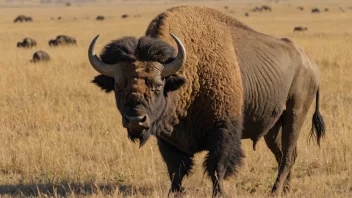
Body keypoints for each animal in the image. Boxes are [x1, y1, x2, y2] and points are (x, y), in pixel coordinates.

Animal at [87, 5, 324, 197]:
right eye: (118, 86)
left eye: (157, 84)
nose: (136, 120)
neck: (188, 74)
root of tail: (310, 62)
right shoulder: (167, 138)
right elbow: (176, 170)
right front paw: (174, 193)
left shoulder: (223, 130)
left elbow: (216, 167)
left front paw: (219, 193)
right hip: (272, 128)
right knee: (284, 154)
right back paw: (285, 190)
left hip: (294, 115)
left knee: (288, 155)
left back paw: (274, 191)